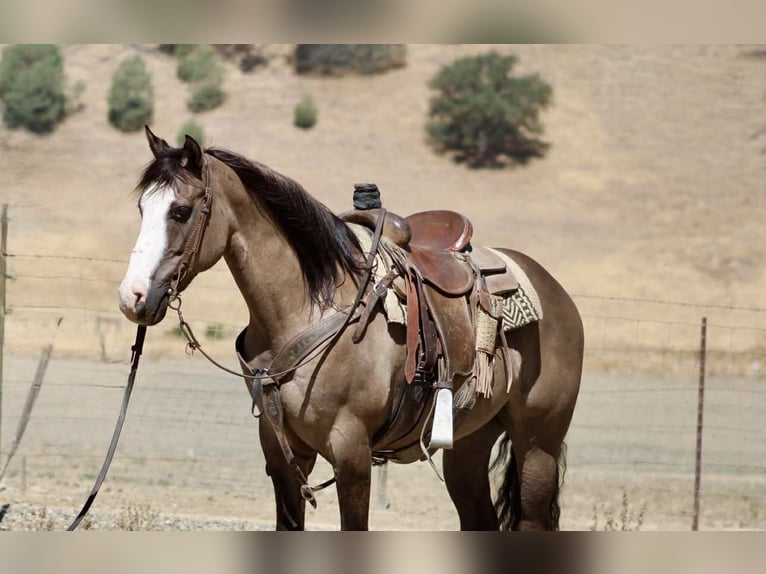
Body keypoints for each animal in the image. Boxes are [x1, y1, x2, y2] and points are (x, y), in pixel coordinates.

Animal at [117, 127, 583, 530]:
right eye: (141, 209)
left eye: (181, 211)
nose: (132, 297)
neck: (307, 309)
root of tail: (557, 293)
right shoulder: (282, 455)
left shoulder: (352, 454)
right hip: (468, 444)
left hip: (537, 442)